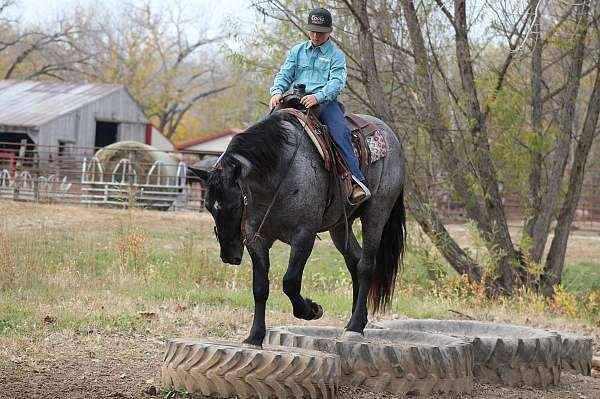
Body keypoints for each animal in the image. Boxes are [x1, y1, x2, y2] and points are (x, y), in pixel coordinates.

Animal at [191, 110, 408, 346]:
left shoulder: (304, 235)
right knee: (354, 261)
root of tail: (390, 135)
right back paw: (356, 320)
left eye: (234, 205)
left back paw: (355, 327)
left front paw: (311, 310)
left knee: (366, 265)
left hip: (376, 214)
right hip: (341, 226)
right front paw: (255, 336)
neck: (279, 172)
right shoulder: (256, 238)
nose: (229, 256)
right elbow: (260, 287)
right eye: (208, 206)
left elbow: (290, 282)